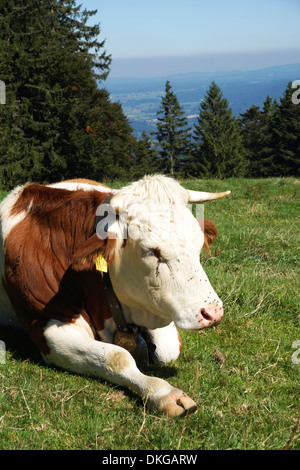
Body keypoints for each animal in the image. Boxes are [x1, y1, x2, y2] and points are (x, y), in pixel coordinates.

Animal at [0, 174, 230, 416]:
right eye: (152, 251)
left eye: (198, 242)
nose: (213, 312)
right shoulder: (48, 329)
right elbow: (117, 357)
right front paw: (162, 392)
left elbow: (168, 349)